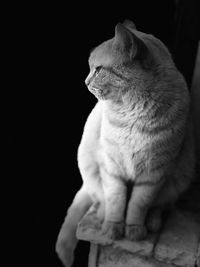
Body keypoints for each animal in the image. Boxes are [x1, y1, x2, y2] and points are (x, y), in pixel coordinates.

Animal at [55, 19, 195, 266]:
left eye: (98, 69)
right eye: (91, 68)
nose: (85, 81)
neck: (133, 115)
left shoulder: (153, 174)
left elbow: (138, 205)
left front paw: (134, 230)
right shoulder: (112, 168)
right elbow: (116, 201)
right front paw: (112, 227)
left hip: (180, 176)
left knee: (160, 205)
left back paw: (152, 222)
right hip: (89, 165)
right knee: (98, 197)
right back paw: (103, 216)